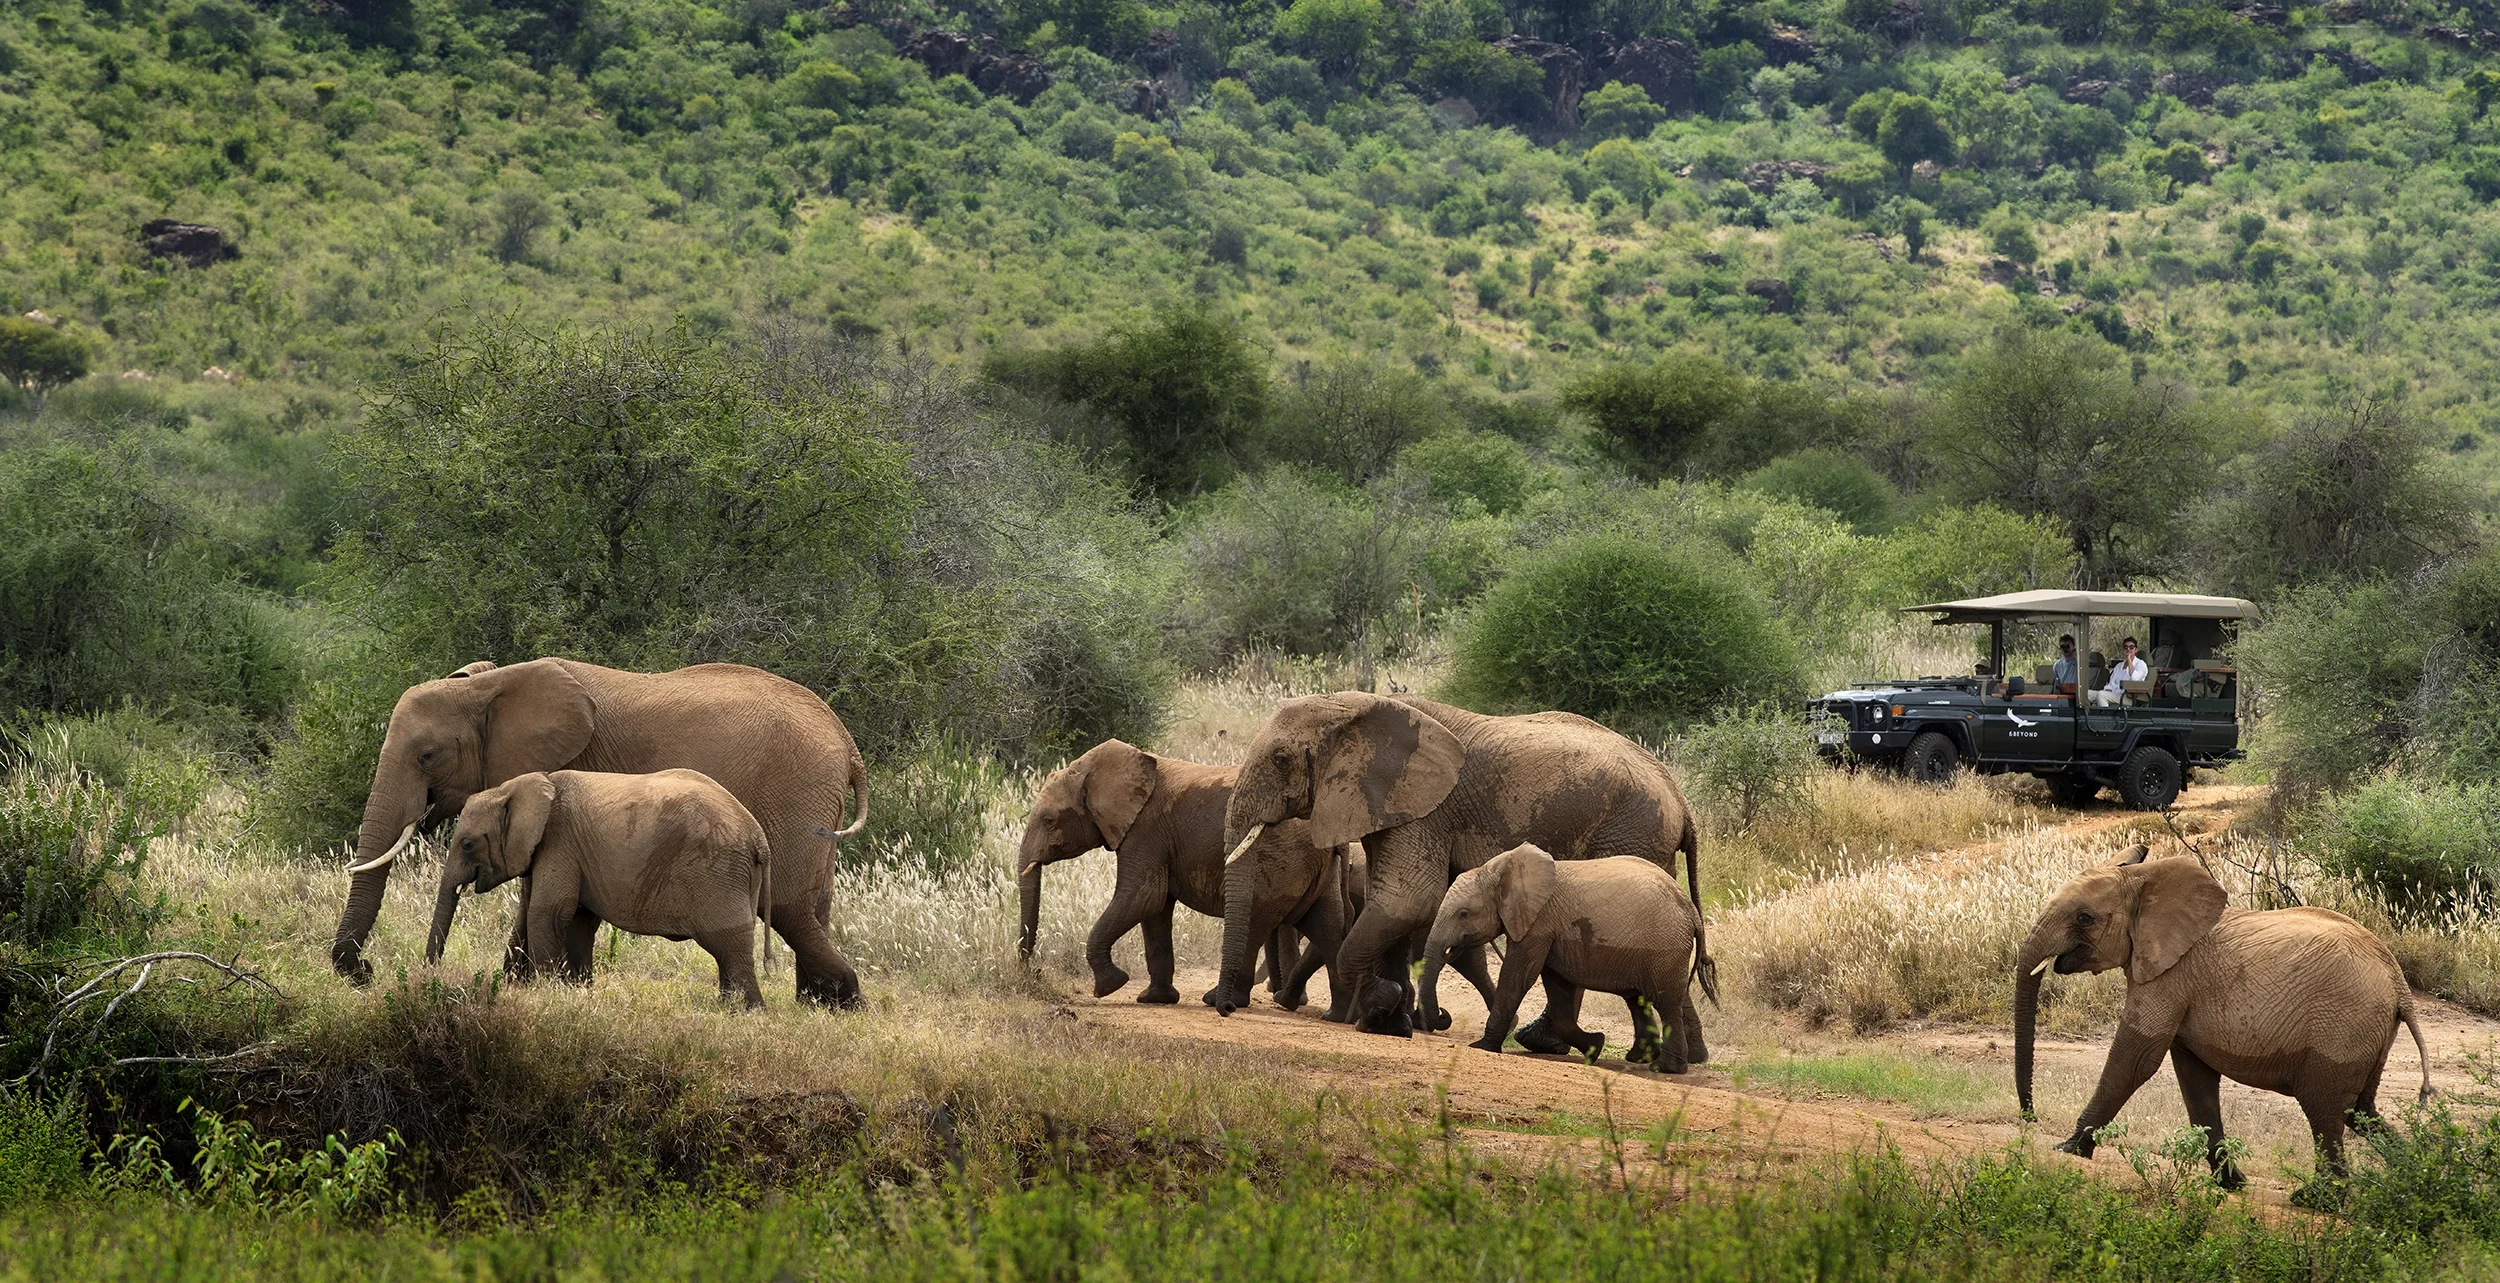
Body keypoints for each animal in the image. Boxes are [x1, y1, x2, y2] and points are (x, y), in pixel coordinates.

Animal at [426, 770, 773, 1007]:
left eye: (468, 845)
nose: (432, 972)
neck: (514, 788)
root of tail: (759, 838)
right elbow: (555, 917)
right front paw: (569, 991)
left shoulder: (559, 842)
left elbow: (548, 912)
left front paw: (546, 992)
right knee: (727, 950)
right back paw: (728, 1007)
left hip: (719, 873)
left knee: (727, 942)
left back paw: (749, 1011)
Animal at [1016, 739, 1349, 1013]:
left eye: (1049, 820)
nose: (1031, 971)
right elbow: (1155, 910)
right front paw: (1155, 999)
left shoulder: (1145, 830)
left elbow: (1143, 897)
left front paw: (1111, 985)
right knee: (1325, 926)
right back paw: (1335, 1013)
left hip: (1282, 859)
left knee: (1256, 921)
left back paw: (1221, 1001)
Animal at [1217, 693, 1711, 1040]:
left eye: (1281, 759)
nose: (1225, 1010)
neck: (1353, 707)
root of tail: (1683, 802)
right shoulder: (1391, 805)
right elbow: (1392, 907)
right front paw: (1396, 1020)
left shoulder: (1426, 809)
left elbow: (1407, 901)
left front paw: (1381, 1008)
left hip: (1632, 831)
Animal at [1421, 843, 1713, 1071]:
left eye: (1463, 914)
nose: (1442, 1013)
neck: (1498, 870)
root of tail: (1692, 912)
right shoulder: (1552, 931)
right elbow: (1557, 989)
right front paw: (1596, 1046)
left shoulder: (1538, 923)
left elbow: (1518, 977)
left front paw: (1482, 1046)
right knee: (1638, 999)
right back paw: (1640, 1058)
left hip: (1665, 947)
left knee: (1665, 1001)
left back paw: (1665, 1068)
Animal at [2015, 844, 2434, 1187]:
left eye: (2085, 918)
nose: (2030, 1117)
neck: (2145, 883)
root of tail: (2399, 985)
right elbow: (2194, 1077)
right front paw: (2231, 1183)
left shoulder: (2171, 976)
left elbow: (2135, 1058)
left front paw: (2066, 1150)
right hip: (2366, 1032)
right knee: (2358, 1110)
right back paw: (2410, 1176)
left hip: (2344, 1025)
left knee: (2324, 1108)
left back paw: (2317, 1200)